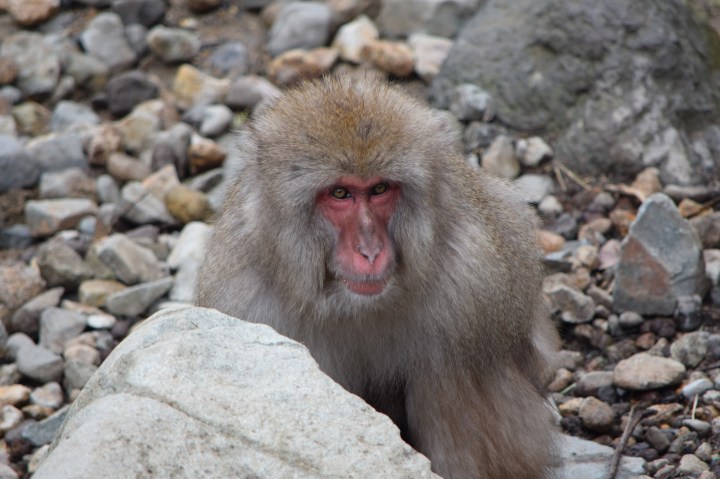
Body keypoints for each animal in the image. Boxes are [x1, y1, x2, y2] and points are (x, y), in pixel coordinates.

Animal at [195, 77, 560, 478]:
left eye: (380, 189)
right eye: (340, 193)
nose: (369, 251)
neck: (354, 306)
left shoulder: (476, 296)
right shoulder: (245, 306)